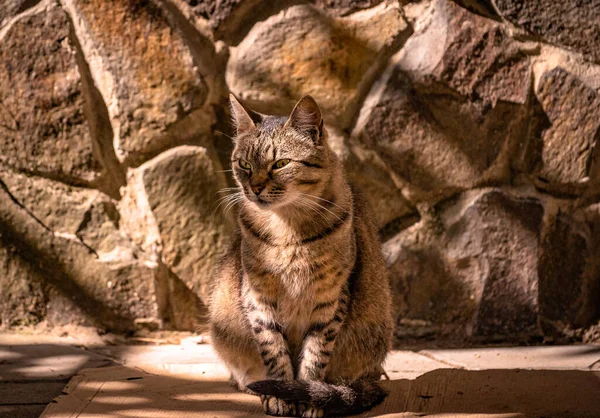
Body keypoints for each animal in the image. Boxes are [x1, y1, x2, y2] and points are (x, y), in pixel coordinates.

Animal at [207, 95, 394, 418]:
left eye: (280, 164)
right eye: (244, 164)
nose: (254, 187)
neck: (288, 230)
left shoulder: (330, 298)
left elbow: (315, 357)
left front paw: (308, 398)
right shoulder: (258, 295)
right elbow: (273, 349)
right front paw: (280, 396)